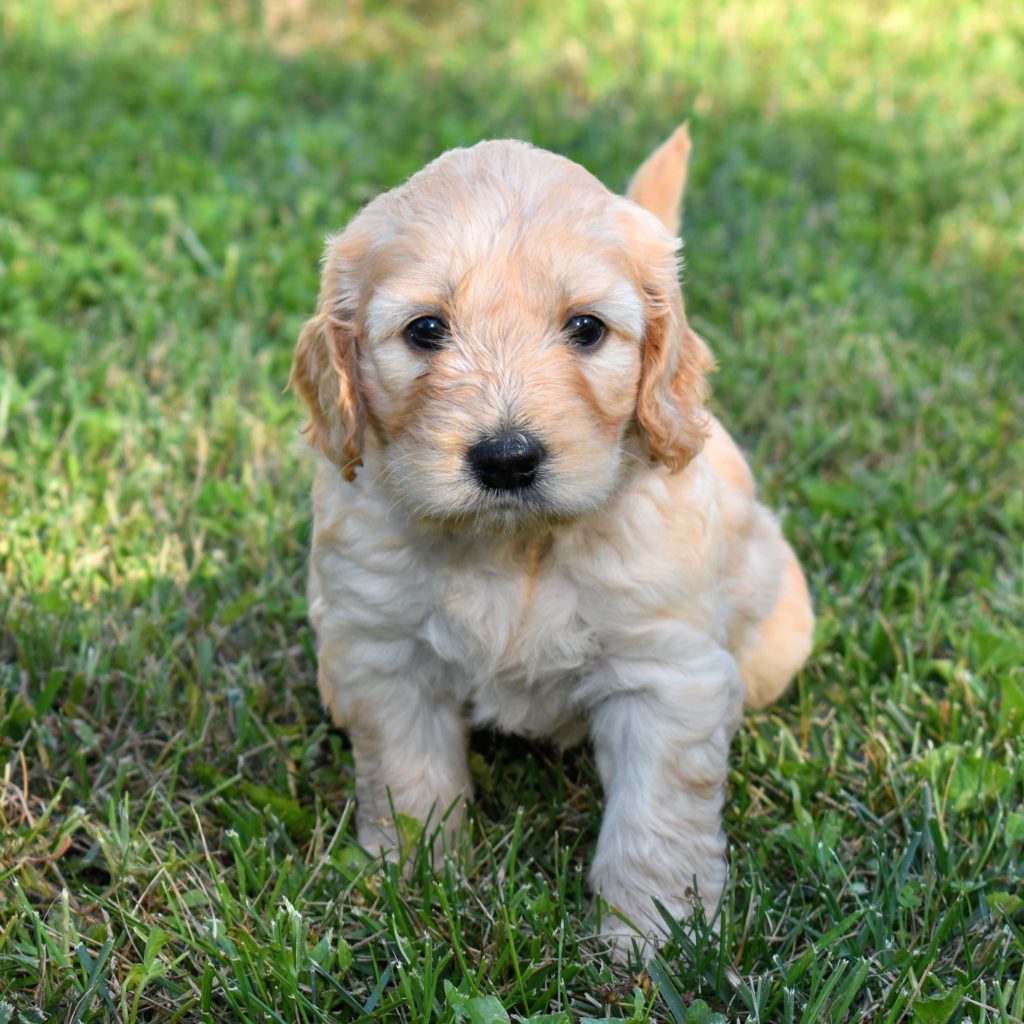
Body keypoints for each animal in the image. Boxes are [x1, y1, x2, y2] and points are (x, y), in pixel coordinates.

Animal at [290, 125, 815, 950]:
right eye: (426, 329)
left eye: (586, 329)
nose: (506, 458)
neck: (516, 547)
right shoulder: (383, 656)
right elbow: (410, 780)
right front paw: (413, 886)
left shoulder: (666, 674)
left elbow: (656, 820)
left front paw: (653, 937)